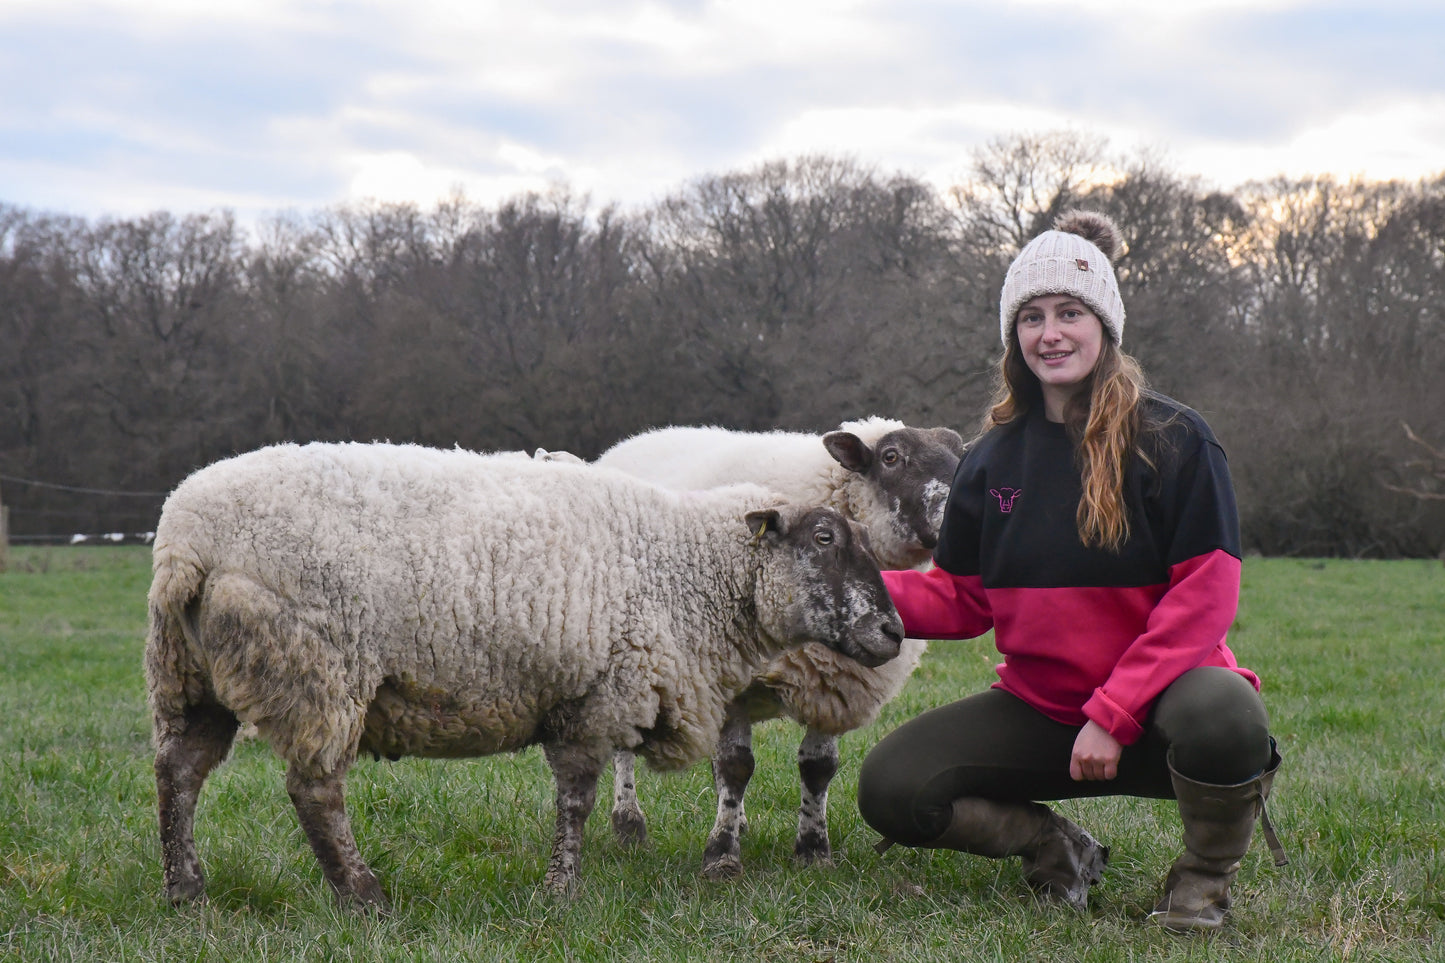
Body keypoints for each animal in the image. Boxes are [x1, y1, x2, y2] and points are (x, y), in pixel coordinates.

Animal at [152, 439, 907, 902]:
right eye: (823, 538)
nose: (893, 632)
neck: (681, 566)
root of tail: (183, 539)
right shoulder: (595, 692)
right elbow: (575, 796)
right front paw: (561, 888)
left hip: (191, 678)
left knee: (178, 772)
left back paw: (187, 889)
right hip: (316, 670)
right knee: (314, 790)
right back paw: (362, 895)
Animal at [592, 416, 965, 873]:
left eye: (961, 456)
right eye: (892, 457)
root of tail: (637, 439)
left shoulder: (835, 685)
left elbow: (818, 768)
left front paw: (813, 850)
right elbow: (736, 765)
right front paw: (721, 856)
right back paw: (628, 822)